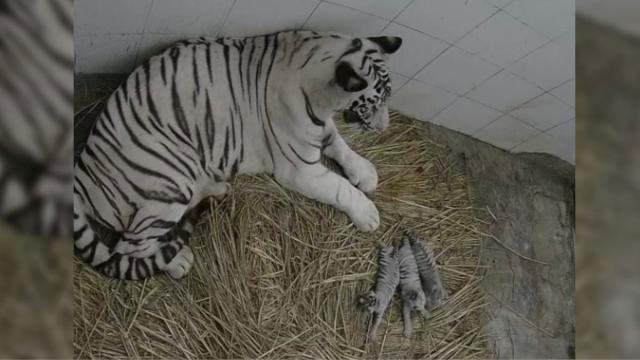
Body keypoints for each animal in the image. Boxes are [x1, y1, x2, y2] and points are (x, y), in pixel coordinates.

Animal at [75, 30, 402, 278]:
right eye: (372, 103)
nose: (384, 128)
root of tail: (83, 172)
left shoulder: (321, 131)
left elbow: (340, 144)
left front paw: (366, 172)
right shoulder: (300, 168)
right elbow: (340, 188)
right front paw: (368, 214)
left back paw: (218, 189)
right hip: (169, 178)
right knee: (129, 248)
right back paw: (179, 261)